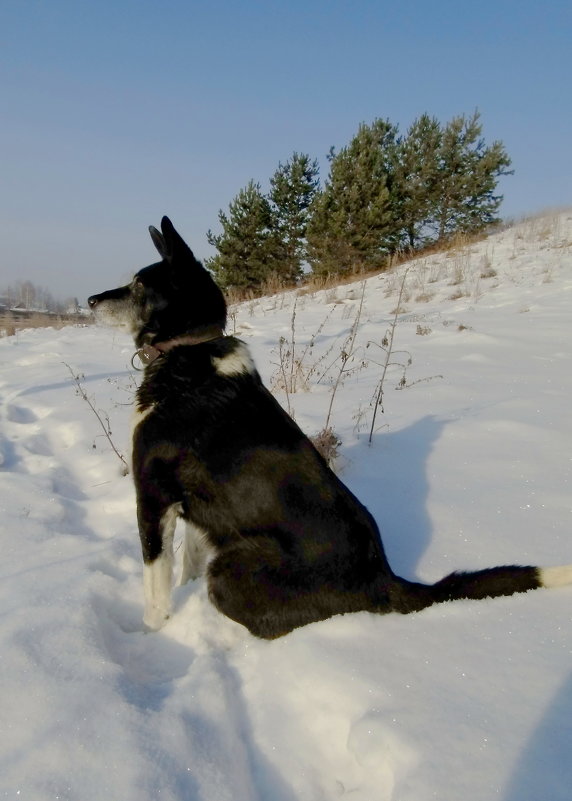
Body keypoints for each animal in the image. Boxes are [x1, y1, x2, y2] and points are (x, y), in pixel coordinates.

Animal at [88, 214, 572, 636]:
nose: (90, 301)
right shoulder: (188, 507)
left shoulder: (152, 495)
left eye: (138, 285)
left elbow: (155, 588)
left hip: (229, 567)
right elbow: (185, 563)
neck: (189, 353)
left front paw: (151, 636)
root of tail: (384, 580)